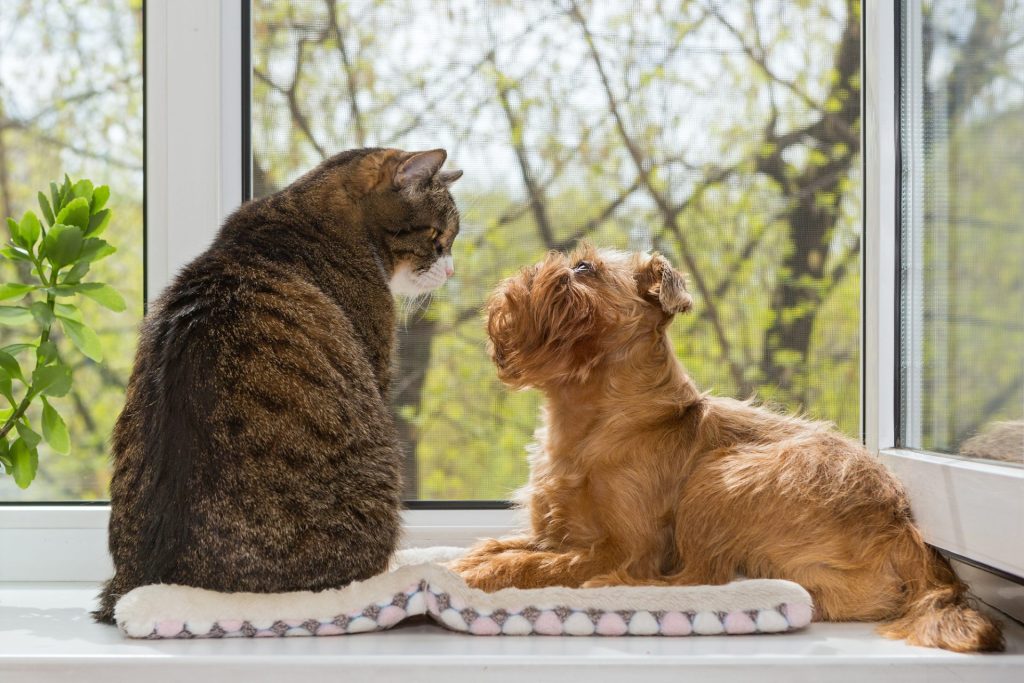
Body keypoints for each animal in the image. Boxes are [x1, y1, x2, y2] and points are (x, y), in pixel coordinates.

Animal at [452, 244, 1003, 651]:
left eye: (584, 268)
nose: (532, 271)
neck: (584, 419)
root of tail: (906, 529)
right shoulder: (556, 531)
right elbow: (504, 544)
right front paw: (471, 559)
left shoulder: (626, 548)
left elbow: (540, 563)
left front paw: (485, 573)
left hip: (719, 479)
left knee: (701, 580)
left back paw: (613, 589)